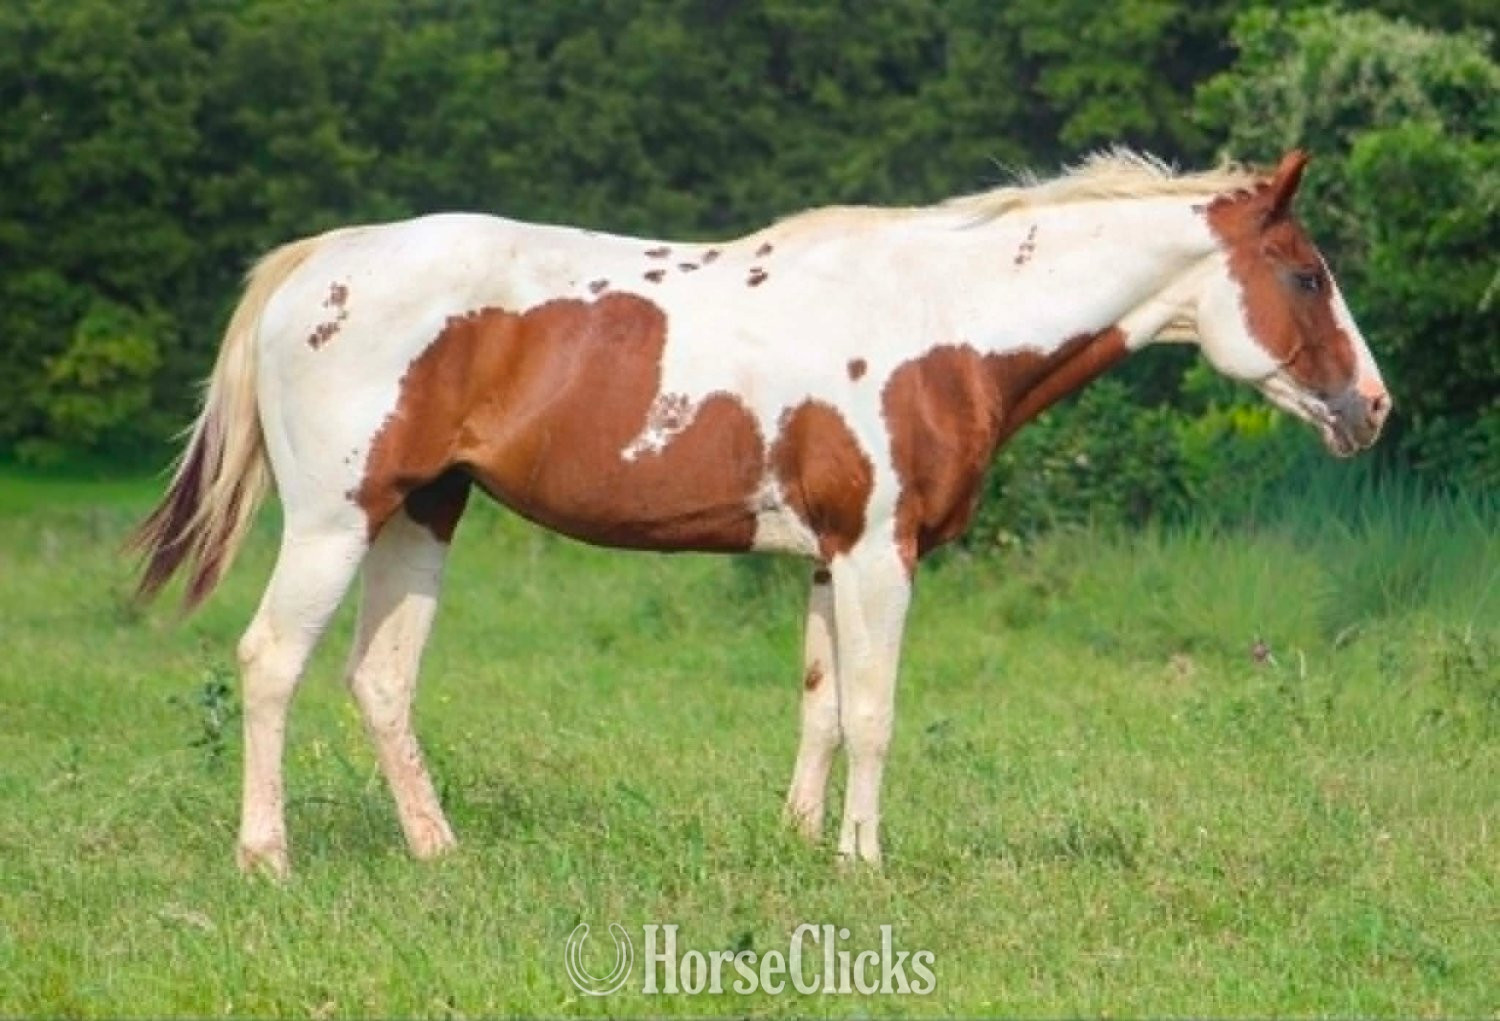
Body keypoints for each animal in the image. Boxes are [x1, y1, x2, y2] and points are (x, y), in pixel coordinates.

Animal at [133, 148, 1390, 878]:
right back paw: (267, 858)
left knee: (381, 681)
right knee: (270, 662)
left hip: (421, 515)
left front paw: (801, 845)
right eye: (1308, 274)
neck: (944, 319)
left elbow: (821, 708)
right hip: (336, 522)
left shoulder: (831, 557)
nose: (1369, 407)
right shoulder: (882, 553)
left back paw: (441, 856)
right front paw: (864, 860)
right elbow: (875, 712)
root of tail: (318, 264)